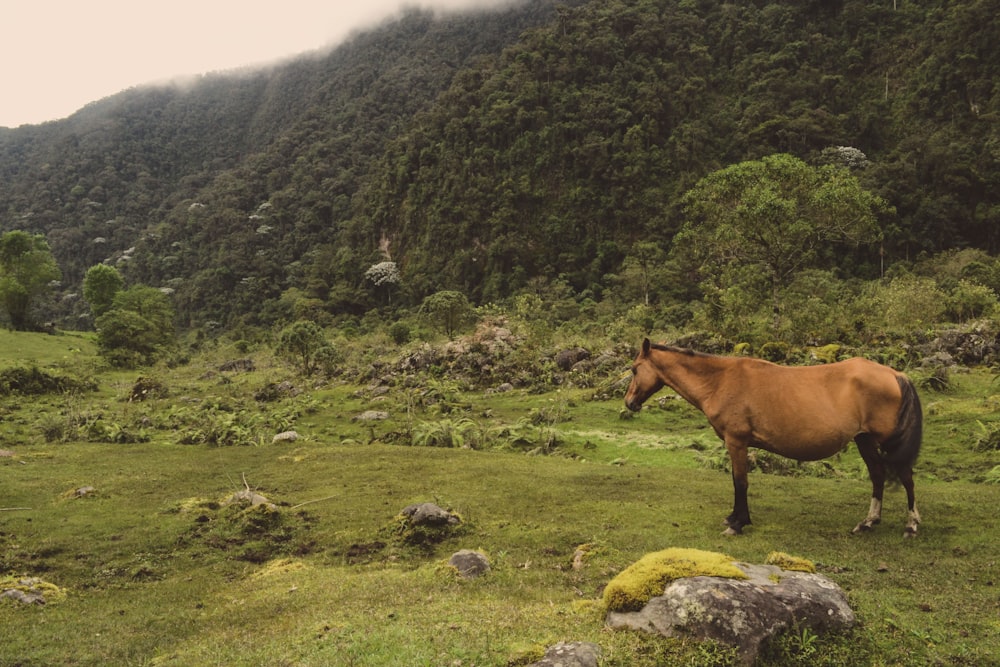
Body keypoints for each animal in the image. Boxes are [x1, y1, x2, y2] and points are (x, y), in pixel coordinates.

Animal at [624, 340, 920, 536]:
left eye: (635, 369)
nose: (629, 403)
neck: (720, 381)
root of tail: (896, 374)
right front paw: (733, 517)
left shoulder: (737, 441)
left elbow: (740, 482)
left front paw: (738, 523)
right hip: (864, 440)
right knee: (878, 475)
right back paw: (868, 522)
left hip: (887, 442)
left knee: (905, 476)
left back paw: (911, 524)